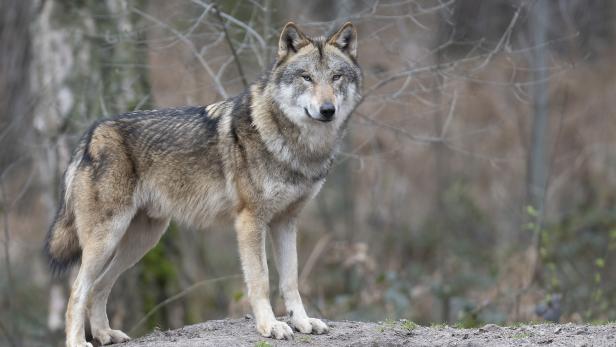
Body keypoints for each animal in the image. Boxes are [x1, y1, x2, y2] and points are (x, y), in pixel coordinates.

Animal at [45, 22, 364, 347]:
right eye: (306, 77)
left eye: (335, 77)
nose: (328, 109)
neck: (297, 146)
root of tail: (91, 134)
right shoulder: (250, 221)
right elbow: (261, 280)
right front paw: (270, 326)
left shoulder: (286, 222)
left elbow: (290, 280)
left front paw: (302, 322)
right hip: (108, 238)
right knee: (77, 291)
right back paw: (79, 341)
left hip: (141, 241)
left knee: (99, 286)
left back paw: (105, 334)